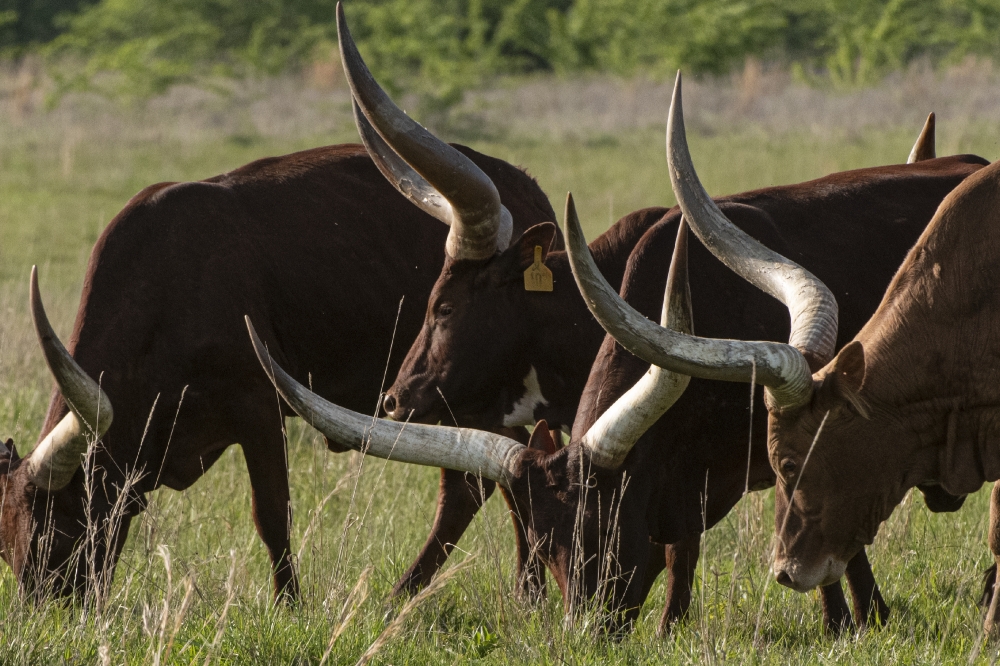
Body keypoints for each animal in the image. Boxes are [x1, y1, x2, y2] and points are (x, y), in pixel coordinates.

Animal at [0, 135, 556, 596]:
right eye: (8, 548)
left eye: (52, 535)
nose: (45, 607)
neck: (164, 285)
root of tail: (525, 186)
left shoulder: (259, 406)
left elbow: (271, 515)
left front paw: (291, 606)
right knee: (491, 479)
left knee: (480, 485)